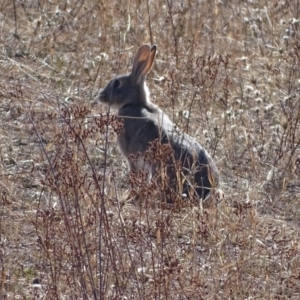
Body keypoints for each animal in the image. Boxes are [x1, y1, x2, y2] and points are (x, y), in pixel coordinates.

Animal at [97, 44, 219, 202]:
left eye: (117, 83)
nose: (100, 96)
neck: (134, 103)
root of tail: (207, 189)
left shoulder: (132, 159)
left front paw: (130, 197)